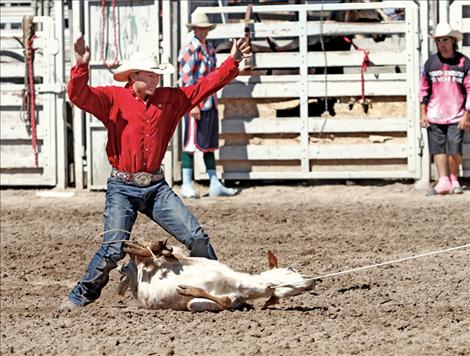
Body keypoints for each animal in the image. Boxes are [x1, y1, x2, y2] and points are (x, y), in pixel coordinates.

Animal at [116, 239, 316, 312]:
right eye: (291, 268)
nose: (313, 282)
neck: (237, 283)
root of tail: (132, 273)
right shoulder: (203, 262)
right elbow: (174, 258)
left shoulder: (201, 305)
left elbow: (222, 301)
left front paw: (186, 289)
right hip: (168, 257)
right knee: (157, 254)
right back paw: (139, 246)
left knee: (145, 259)